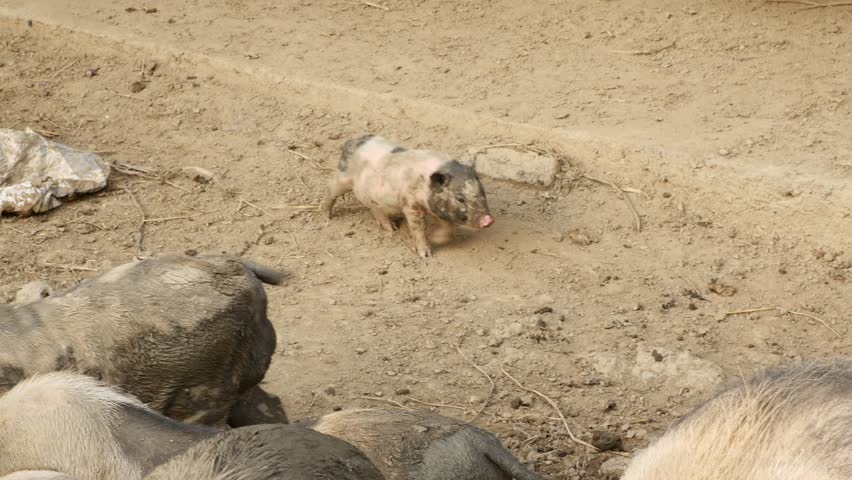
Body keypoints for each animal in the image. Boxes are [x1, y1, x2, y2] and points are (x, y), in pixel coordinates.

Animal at [320, 134, 494, 257]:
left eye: (482, 191)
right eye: (460, 198)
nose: (488, 220)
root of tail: (351, 141)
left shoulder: (437, 208)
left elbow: (448, 228)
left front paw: (436, 239)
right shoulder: (410, 205)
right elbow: (418, 228)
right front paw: (426, 255)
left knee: (375, 209)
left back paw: (391, 228)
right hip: (343, 178)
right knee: (330, 189)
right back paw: (326, 216)